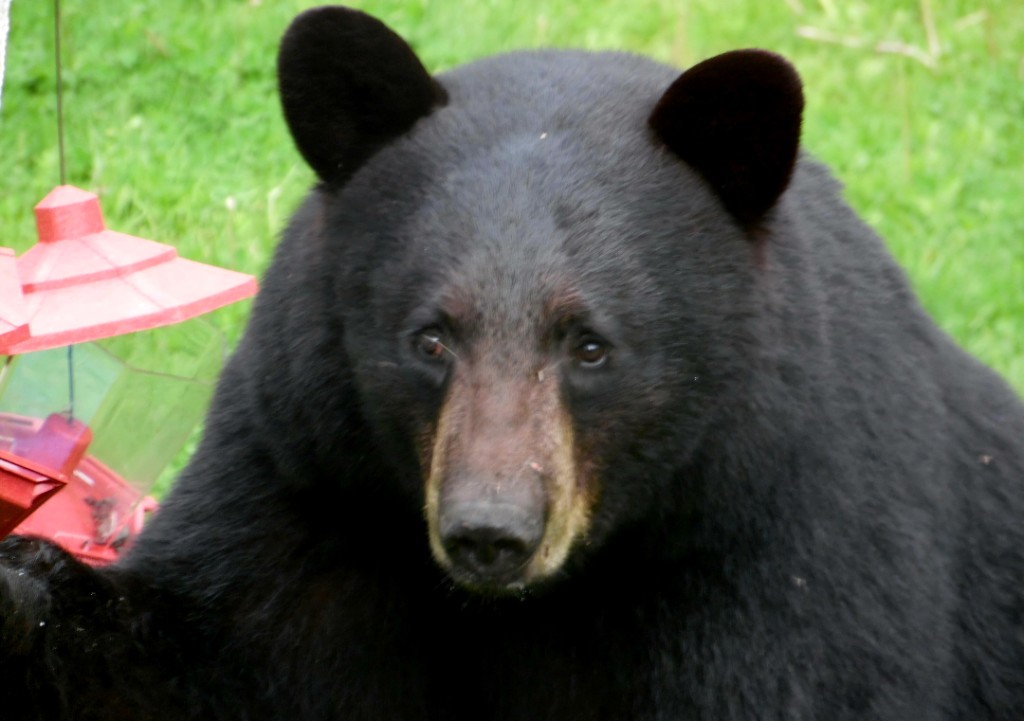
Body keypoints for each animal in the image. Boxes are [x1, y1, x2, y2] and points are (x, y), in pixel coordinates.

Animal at [2, 4, 1024, 720]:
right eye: (430, 337)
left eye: (590, 344)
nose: (489, 532)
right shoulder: (314, 479)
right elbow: (203, 655)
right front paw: (24, 586)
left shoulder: (784, 543)